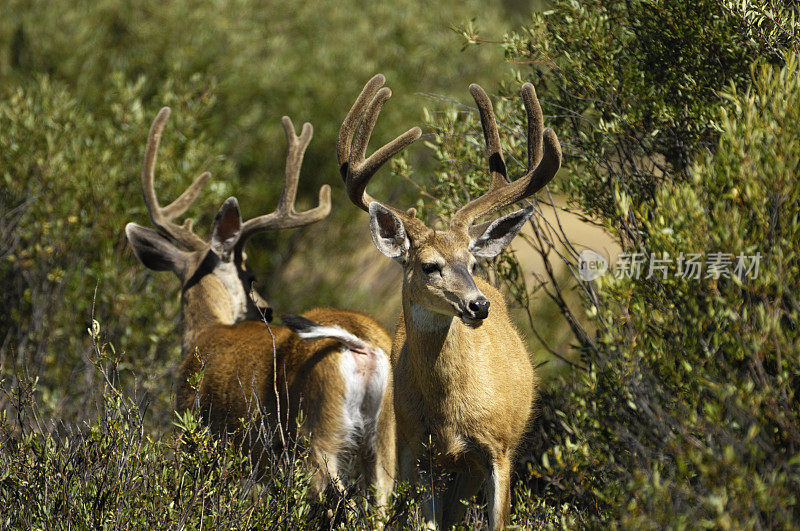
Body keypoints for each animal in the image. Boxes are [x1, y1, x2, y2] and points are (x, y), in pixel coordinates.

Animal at [125, 106, 396, 510]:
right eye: (251, 276)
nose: (265, 310)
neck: (205, 331)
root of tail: (359, 343)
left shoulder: (195, 431)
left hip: (314, 431)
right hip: (384, 436)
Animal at [338, 76, 564, 531]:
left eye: (472, 262)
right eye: (429, 266)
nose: (479, 306)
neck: (450, 414)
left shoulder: (498, 448)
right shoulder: (421, 452)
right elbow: (427, 523)